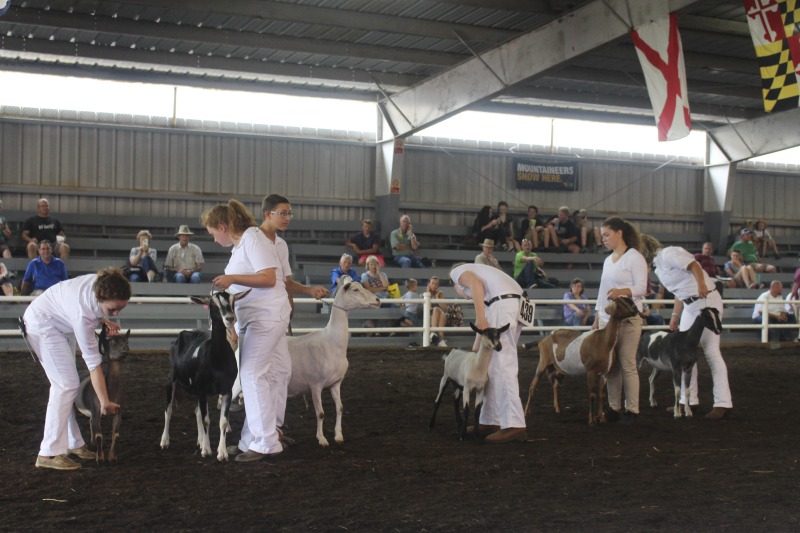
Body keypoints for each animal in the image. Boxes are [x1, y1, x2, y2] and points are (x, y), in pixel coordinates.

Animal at [74, 324, 130, 462]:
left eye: (126, 341)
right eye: (111, 342)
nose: (125, 350)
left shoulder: (118, 410)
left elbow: (116, 435)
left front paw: (112, 457)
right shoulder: (96, 408)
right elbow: (99, 435)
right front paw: (100, 458)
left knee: (90, 422)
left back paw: (93, 443)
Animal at [160, 288, 250, 460]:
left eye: (233, 300)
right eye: (212, 303)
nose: (229, 318)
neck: (217, 359)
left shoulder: (226, 390)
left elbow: (222, 421)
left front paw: (222, 453)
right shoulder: (202, 390)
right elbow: (206, 419)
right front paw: (207, 450)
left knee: (196, 413)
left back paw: (200, 440)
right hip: (171, 379)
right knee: (168, 411)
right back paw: (165, 441)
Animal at [286, 274, 380, 444]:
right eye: (355, 289)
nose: (378, 300)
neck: (331, 341)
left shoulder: (336, 383)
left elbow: (340, 407)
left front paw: (338, 436)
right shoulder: (315, 385)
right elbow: (320, 413)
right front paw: (322, 439)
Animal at [524, 296, 644, 424]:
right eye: (622, 302)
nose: (635, 310)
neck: (604, 341)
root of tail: (543, 340)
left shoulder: (604, 373)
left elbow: (602, 395)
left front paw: (602, 418)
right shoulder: (590, 372)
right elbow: (592, 394)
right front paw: (591, 420)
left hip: (558, 368)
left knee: (555, 385)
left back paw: (557, 409)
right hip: (543, 363)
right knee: (532, 386)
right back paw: (527, 412)